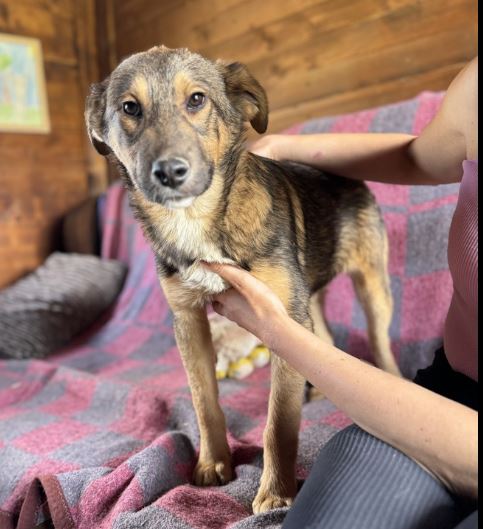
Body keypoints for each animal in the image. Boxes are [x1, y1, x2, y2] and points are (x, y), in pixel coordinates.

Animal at [85, 45, 400, 513]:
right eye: (129, 108)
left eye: (197, 100)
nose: (170, 172)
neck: (196, 219)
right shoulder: (189, 319)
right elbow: (204, 400)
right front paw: (213, 463)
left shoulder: (281, 316)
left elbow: (279, 421)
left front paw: (276, 492)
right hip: (309, 296)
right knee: (323, 338)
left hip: (371, 285)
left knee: (379, 340)